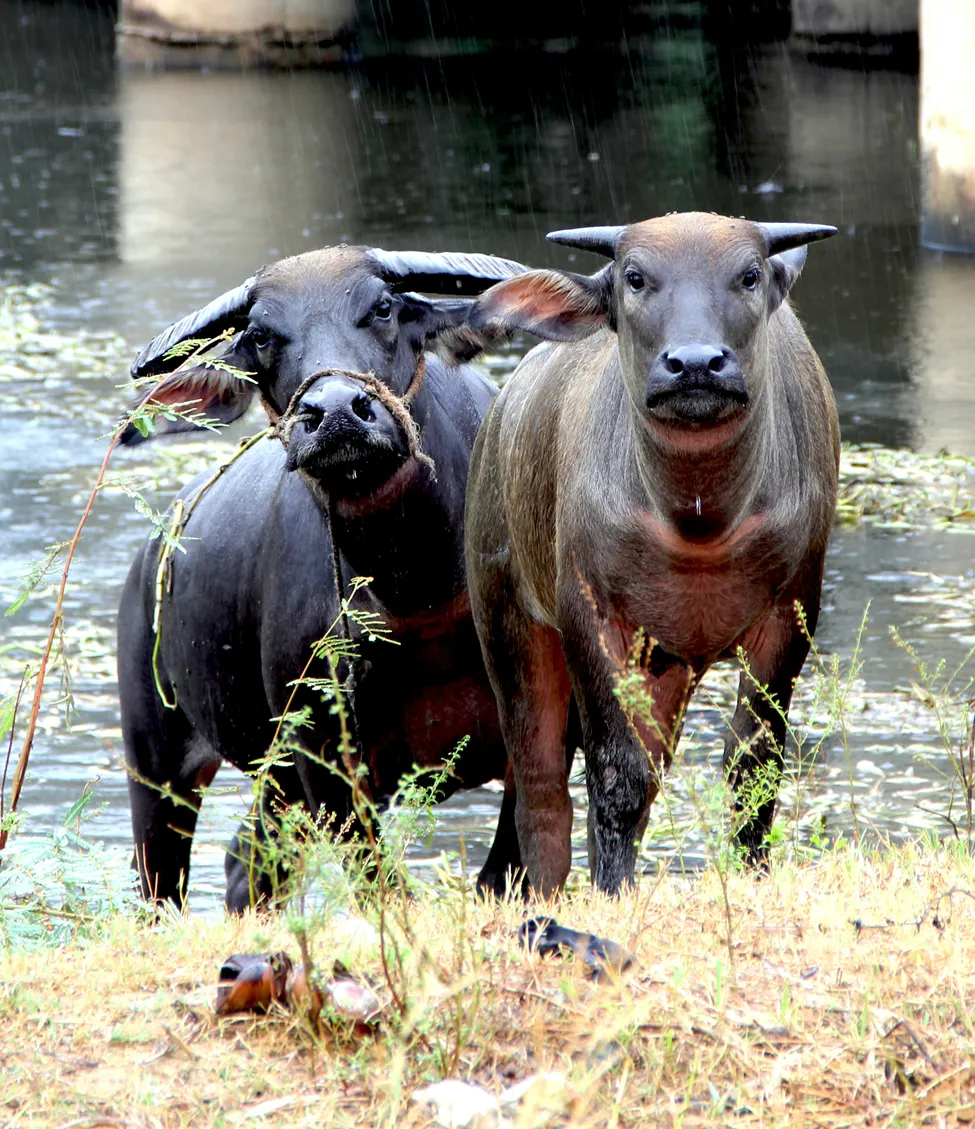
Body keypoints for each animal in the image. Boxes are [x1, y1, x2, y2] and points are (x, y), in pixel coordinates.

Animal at [120, 244, 537, 907]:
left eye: (383, 307)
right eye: (261, 336)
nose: (337, 413)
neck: (421, 585)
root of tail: (146, 564)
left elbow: (507, 872)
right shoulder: (325, 759)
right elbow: (383, 884)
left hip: (272, 782)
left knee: (246, 860)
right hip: (157, 765)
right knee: (167, 884)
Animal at [464, 213, 839, 898]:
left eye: (748, 274)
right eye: (635, 277)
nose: (695, 364)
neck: (699, 518)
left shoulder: (792, 612)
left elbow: (753, 763)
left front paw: (751, 871)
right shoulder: (588, 613)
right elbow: (616, 774)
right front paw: (613, 890)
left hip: (665, 671)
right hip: (507, 622)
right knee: (539, 785)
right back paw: (547, 891)